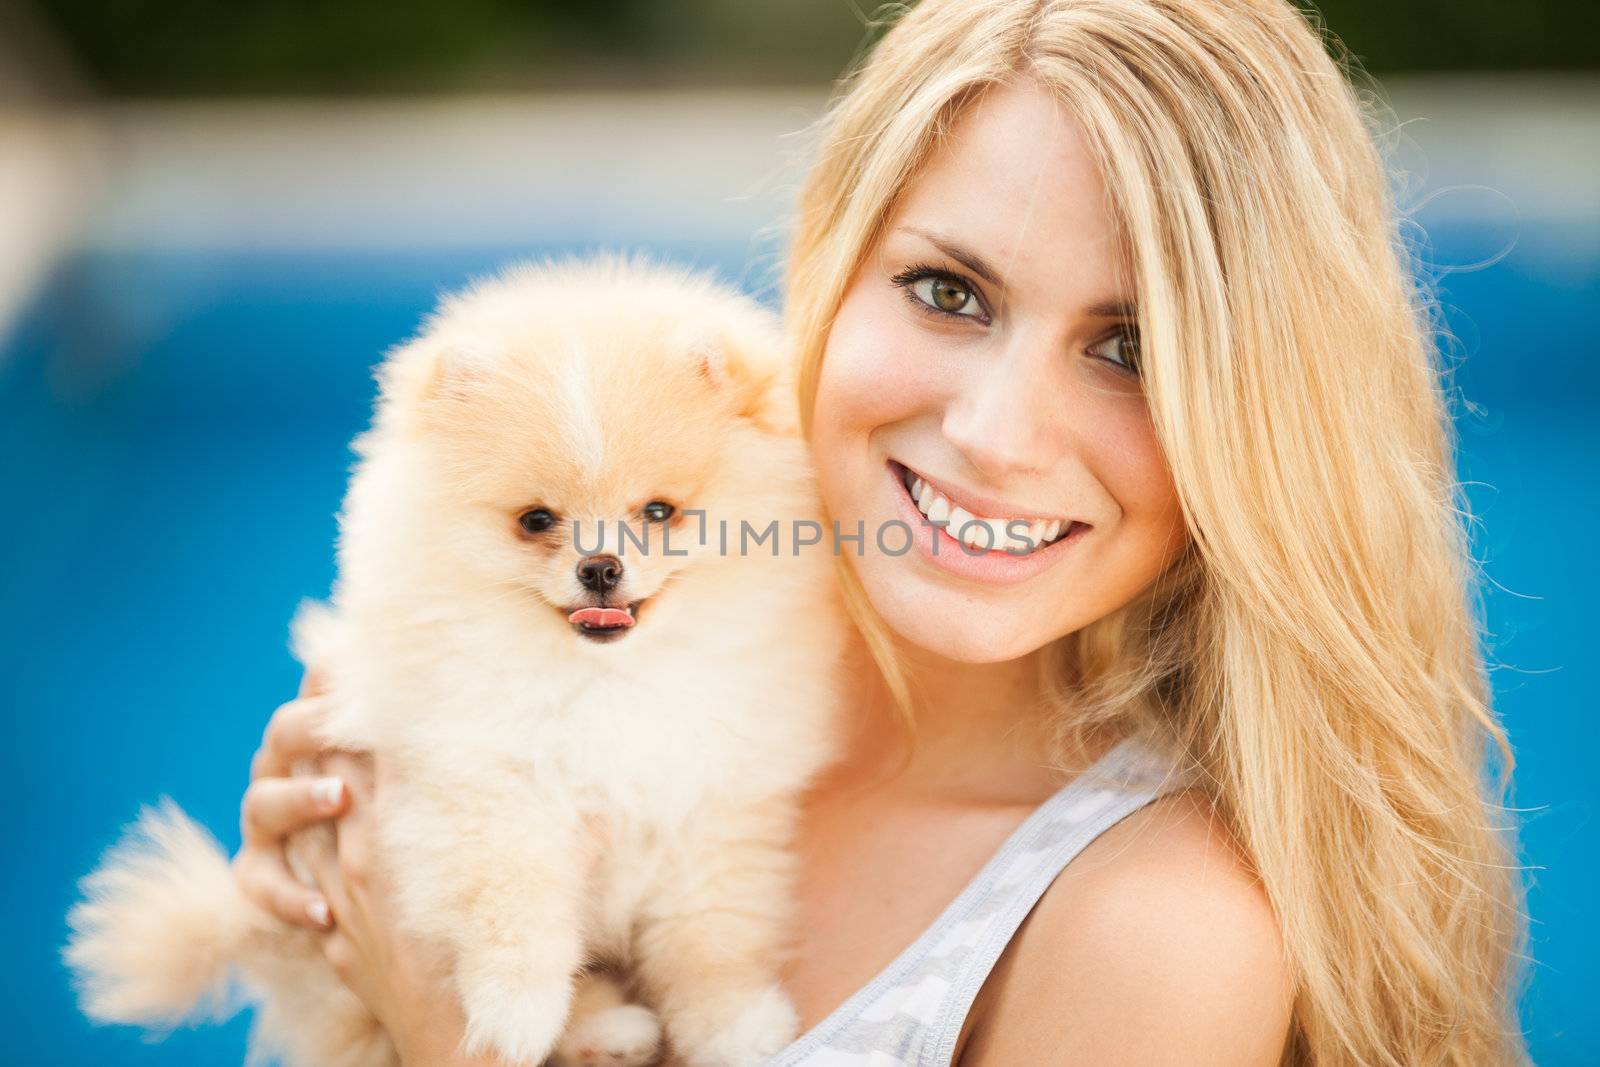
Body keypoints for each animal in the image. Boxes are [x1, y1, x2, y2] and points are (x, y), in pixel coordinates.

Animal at [64, 259, 844, 1067]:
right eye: (536, 520)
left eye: (658, 512)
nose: (599, 567)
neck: (602, 679)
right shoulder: (484, 787)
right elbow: (514, 907)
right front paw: (518, 1013)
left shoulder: (714, 807)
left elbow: (712, 936)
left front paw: (738, 1027)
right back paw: (603, 1028)